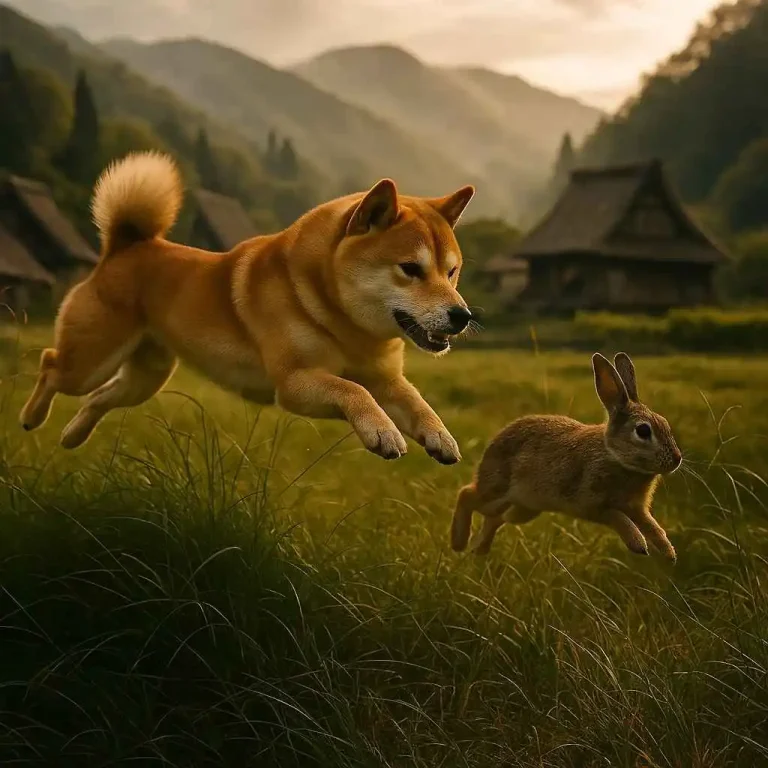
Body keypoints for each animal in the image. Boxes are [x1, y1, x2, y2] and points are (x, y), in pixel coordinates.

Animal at [450, 352, 682, 560]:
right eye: (643, 431)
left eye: (665, 423)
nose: (676, 459)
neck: (614, 455)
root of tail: (495, 442)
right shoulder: (591, 503)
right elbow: (617, 517)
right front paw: (639, 545)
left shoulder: (636, 508)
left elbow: (652, 525)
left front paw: (669, 553)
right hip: (497, 489)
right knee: (466, 495)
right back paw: (459, 543)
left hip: (523, 508)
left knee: (496, 518)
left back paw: (479, 550)